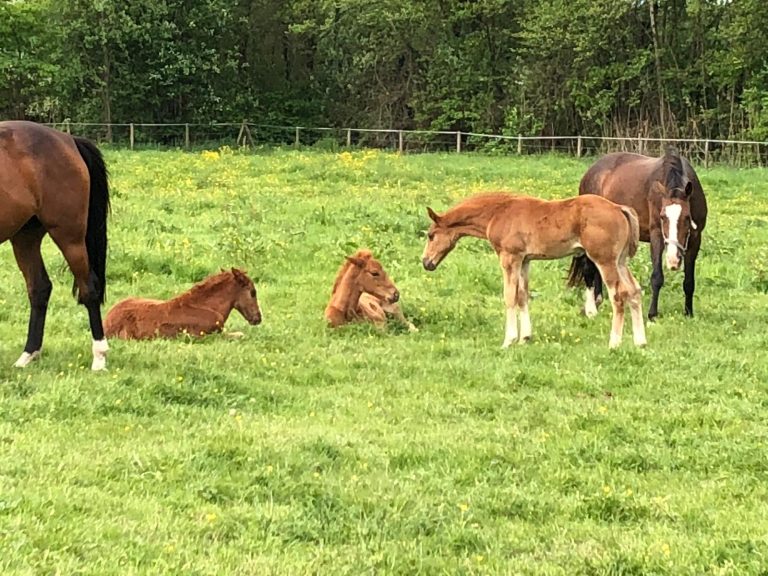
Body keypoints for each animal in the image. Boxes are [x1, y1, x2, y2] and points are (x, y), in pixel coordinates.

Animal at [0, 121, 110, 370]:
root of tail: (68, 140)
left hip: (70, 237)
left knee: (89, 288)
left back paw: (99, 357)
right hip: (25, 238)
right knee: (39, 288)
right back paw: (28, 355)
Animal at [104, 268, 262, 339]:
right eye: (253, 292)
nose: (258, 318)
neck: (207, 306)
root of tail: (107, 321)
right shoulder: (206, 335)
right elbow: (240, 334)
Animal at [422, 193, 647, 348]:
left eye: (431, 236)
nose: (425, 262)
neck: (497, 213)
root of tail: (619, 208)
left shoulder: (509, 257)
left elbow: (509, 296)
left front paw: (508, 340)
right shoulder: (524, 260)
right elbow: (522, 296)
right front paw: (525, 337)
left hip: (604, 260)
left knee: (618, 295)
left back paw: (614, 343)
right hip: (621, 261)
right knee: (634, 291)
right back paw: (640, 341)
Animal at [570, 149, 708, 320]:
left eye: (687, 217)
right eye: (663, 217)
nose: (673, 260)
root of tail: (590, 172)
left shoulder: (695, 239)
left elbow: (689, 281)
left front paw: (688, 312)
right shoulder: (656, 235)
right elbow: (657, 277)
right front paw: (652, 314)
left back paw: (599, 299)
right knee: (589, 267)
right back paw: (592, 307)